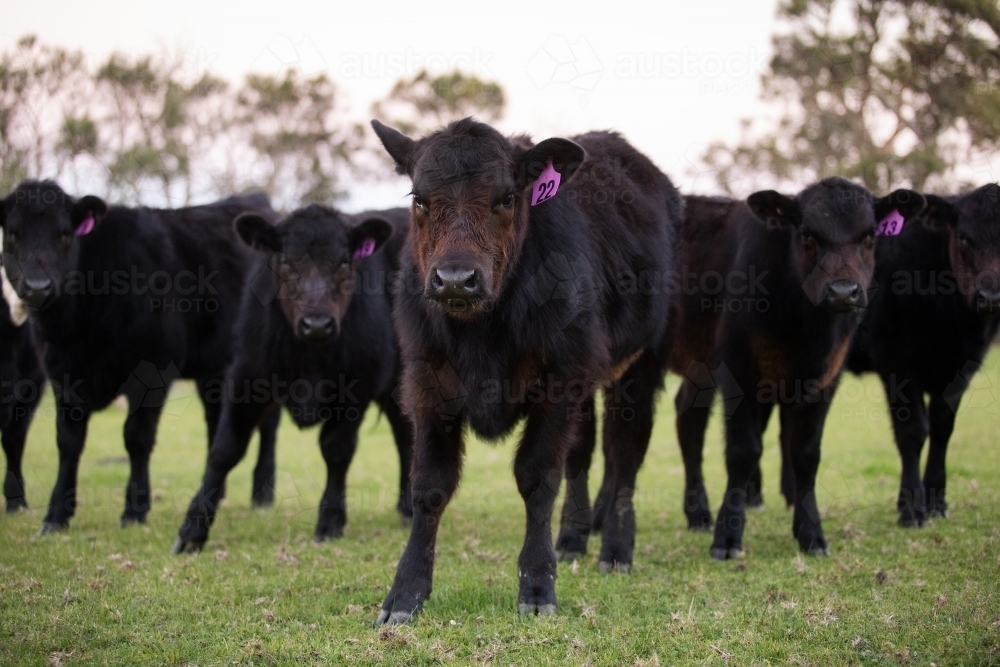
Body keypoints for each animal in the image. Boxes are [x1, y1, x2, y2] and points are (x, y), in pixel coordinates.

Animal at [0, 180, 280, 533]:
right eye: (12, 233)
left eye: (64, 234)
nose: (37, 286)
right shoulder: (62, 374)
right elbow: (67, 442)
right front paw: (56, 516)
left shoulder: (153, 370)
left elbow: (136, 438)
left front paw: (134, 510)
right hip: (215, 368)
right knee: (215, 417)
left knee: (269, 423)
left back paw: (263, 494)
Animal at [171, 204, 413, 553]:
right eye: (285, 260)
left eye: (344, 261)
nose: (317, 324)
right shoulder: (246, 376)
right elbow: (224, 450)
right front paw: (192, 531)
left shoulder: (356, 386)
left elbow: (337, 449)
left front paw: (330, 521)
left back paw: (409, 508)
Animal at [369, 117, 681, 624]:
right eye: (419, 199)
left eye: (507, 197)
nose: (456, 280)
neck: (481, 337)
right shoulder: (427, 381)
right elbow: (430, 486)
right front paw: (405, 593)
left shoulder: (559, 381)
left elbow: (537, 478)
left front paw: (537, 586)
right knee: (584, 453)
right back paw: (572, 540)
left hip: (641, 364)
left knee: (625, 454)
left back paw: (616, 549)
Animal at [846, 183, 1000, 526]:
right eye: (963, 237)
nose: (992, 296)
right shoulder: (896, 362)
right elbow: (913, 431)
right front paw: (911, 510)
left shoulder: (964, 364)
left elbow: (942, 427)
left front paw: (936, 502)